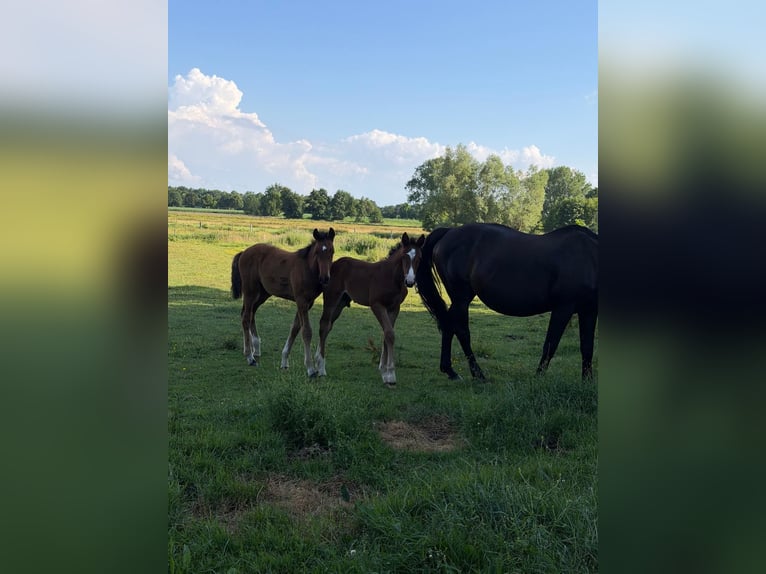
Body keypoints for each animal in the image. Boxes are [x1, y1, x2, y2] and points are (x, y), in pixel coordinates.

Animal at [231, 228, 335, 376]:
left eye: (332, 251)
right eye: (317, 252)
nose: (325, 278)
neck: (307, 269)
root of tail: (244, 252)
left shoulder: (307, 303)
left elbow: (295, 328)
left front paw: (284, 361)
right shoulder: (301, 301)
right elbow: (306, 331)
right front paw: (310, 369)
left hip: (263, 293)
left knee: (250, 314)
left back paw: (255, 348)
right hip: (250, 290)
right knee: (246, 317)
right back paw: (250, 357)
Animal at [315, 232, 426, 386]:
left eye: (419, 258)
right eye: (404, 256)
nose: (409, 281)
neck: (392, 278)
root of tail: (332, 265)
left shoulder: (394, 308)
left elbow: (387, 334)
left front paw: (384, 372)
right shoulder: (377, 305)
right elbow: (389, 334)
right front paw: (391, 375)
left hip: (341, 303)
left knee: (328, 326)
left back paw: (316, 360)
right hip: (331, 299)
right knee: (324, 325)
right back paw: (321, 368)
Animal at [415, 223, 598, 381]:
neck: (589, 256)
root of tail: (449, 232)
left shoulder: (589, 310)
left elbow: (587, 347)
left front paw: (586, 382)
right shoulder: (563, 308)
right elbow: (550, 346)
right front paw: (538, 379)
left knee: (449, 327)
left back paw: (452, 371)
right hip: (461, 298)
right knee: (460, 330)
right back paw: (474, 374)